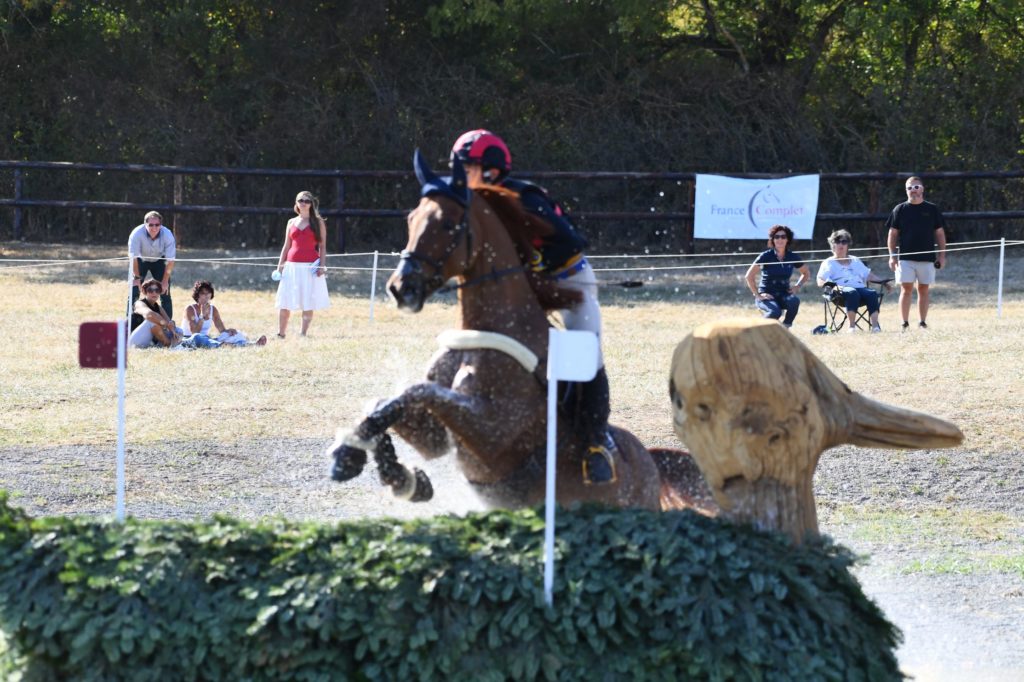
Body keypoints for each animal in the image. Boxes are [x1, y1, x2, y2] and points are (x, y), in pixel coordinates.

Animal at [327, 148, 712, 509]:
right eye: (411, 219)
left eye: (448, 224)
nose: (400, 288)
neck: (485, 331)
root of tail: (648, 459)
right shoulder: (438, 437)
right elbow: (391, 400)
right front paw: (383, 467)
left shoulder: (495, 431)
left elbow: (417, 391)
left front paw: (363, 458)